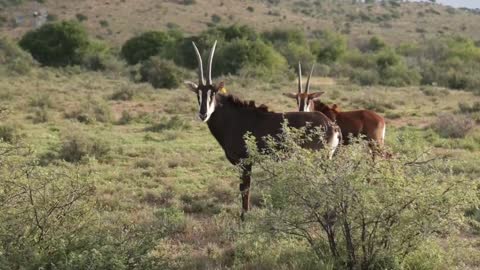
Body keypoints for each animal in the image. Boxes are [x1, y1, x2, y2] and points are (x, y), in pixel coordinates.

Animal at [184, 42, 342, 219]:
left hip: (320, 158)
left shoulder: (245, 161)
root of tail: (331, 125)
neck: (233, 117)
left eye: (213, 93)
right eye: (198, 94)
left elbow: (245, 190)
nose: (203, 114)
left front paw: (244, 218)